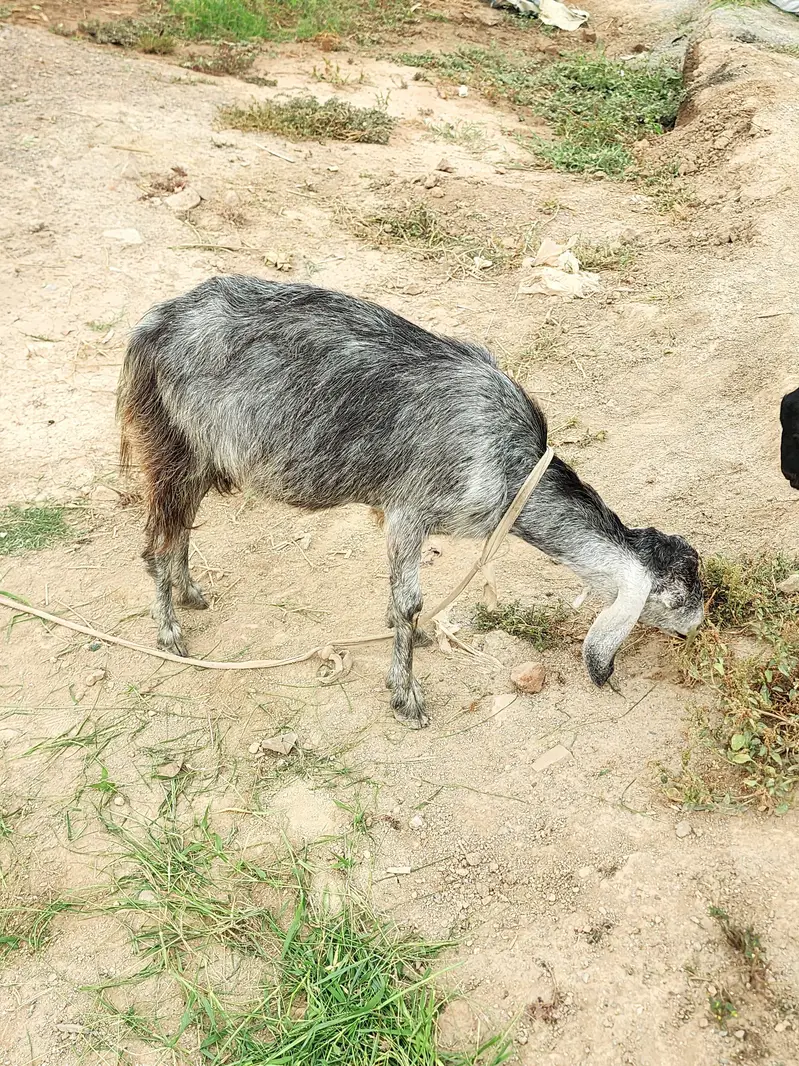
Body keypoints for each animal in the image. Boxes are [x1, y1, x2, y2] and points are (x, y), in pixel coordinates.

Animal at [118, 276, 705, 728]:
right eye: (677, 600)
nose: (697, 629)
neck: (512, 468)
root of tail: (154, 325)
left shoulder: (393, 514)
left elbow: (398, 597)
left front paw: (413, 643)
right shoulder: (409, 510)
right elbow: (410, 601)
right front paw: (407, 697)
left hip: (201, 454)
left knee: (179, 526)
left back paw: (190, 592)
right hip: (171, 443)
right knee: (155, 541)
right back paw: (169, 631)